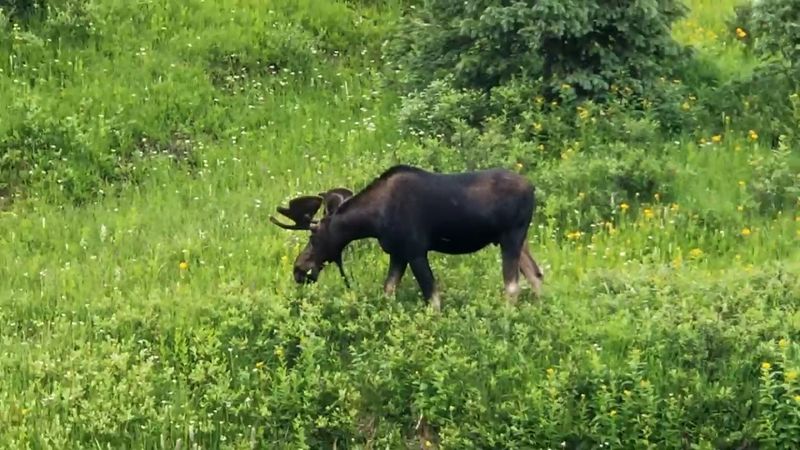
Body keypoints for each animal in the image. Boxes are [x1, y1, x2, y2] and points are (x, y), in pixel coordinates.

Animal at [269, 164, 544, 311]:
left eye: (314, 237)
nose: (298, 268)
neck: (372, 220)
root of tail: (533, 189)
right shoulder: (398, 253)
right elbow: (388, 290)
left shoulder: (415, 251)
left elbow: (432, 298)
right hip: (519, 240)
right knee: (537, 275)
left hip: (510, 237)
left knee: (512, 286)